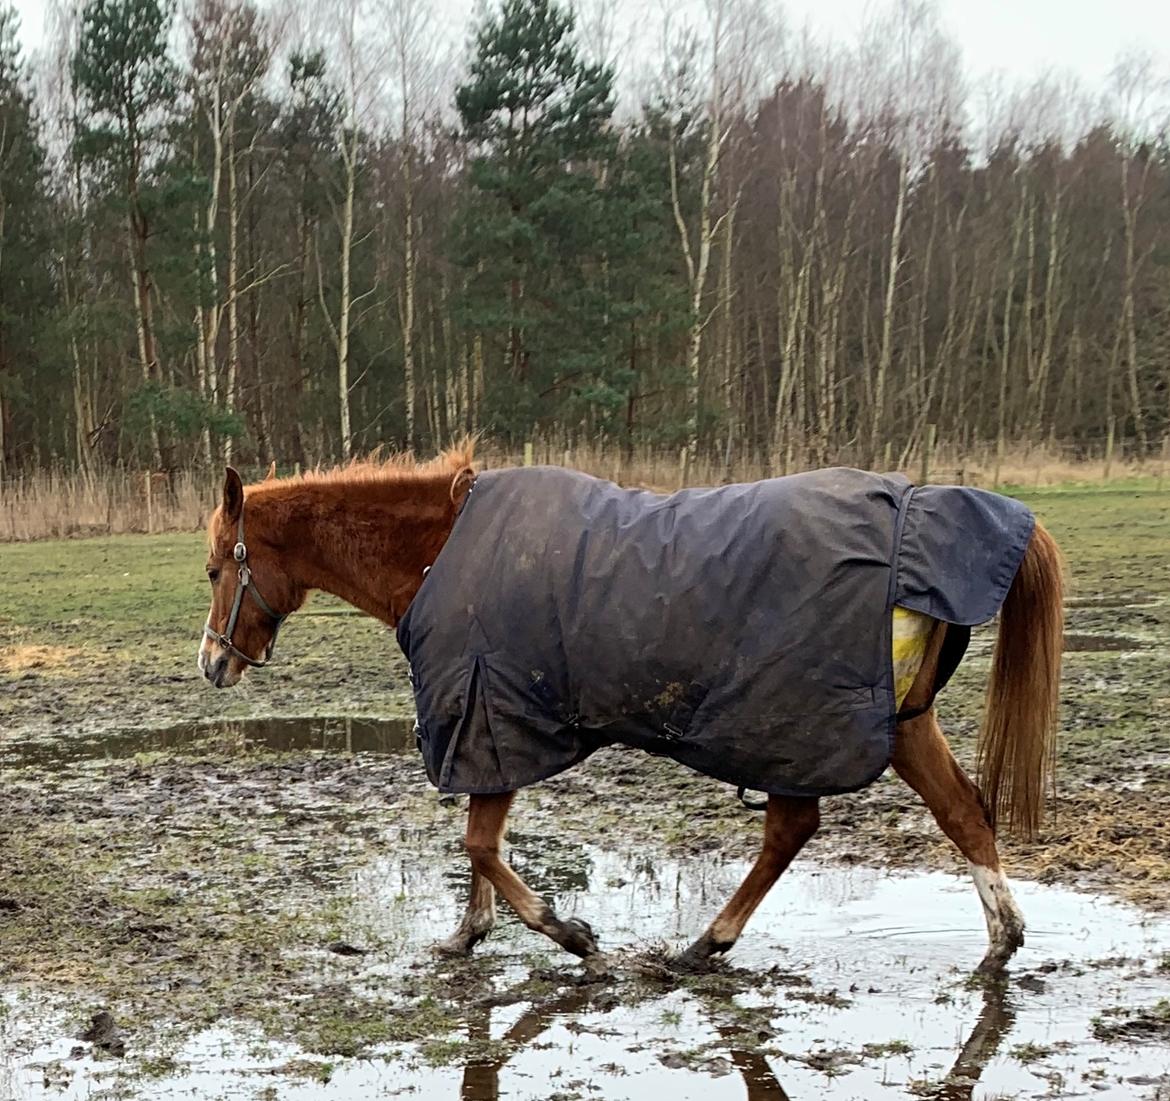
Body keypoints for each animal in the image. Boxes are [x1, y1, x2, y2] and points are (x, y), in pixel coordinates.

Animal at [198, 442, 1062, 973]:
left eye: (213, 568)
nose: (211, 663)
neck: (440, 551)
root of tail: (923, 510)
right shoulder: (488, 728)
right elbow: (478, 843)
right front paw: (466, 934)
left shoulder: (491, 715)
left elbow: (479, 842)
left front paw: (572, 935)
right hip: (895, 722)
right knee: (958, 810)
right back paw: (1001, 939)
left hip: (802, 726)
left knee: (798, 828)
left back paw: (707, 942)